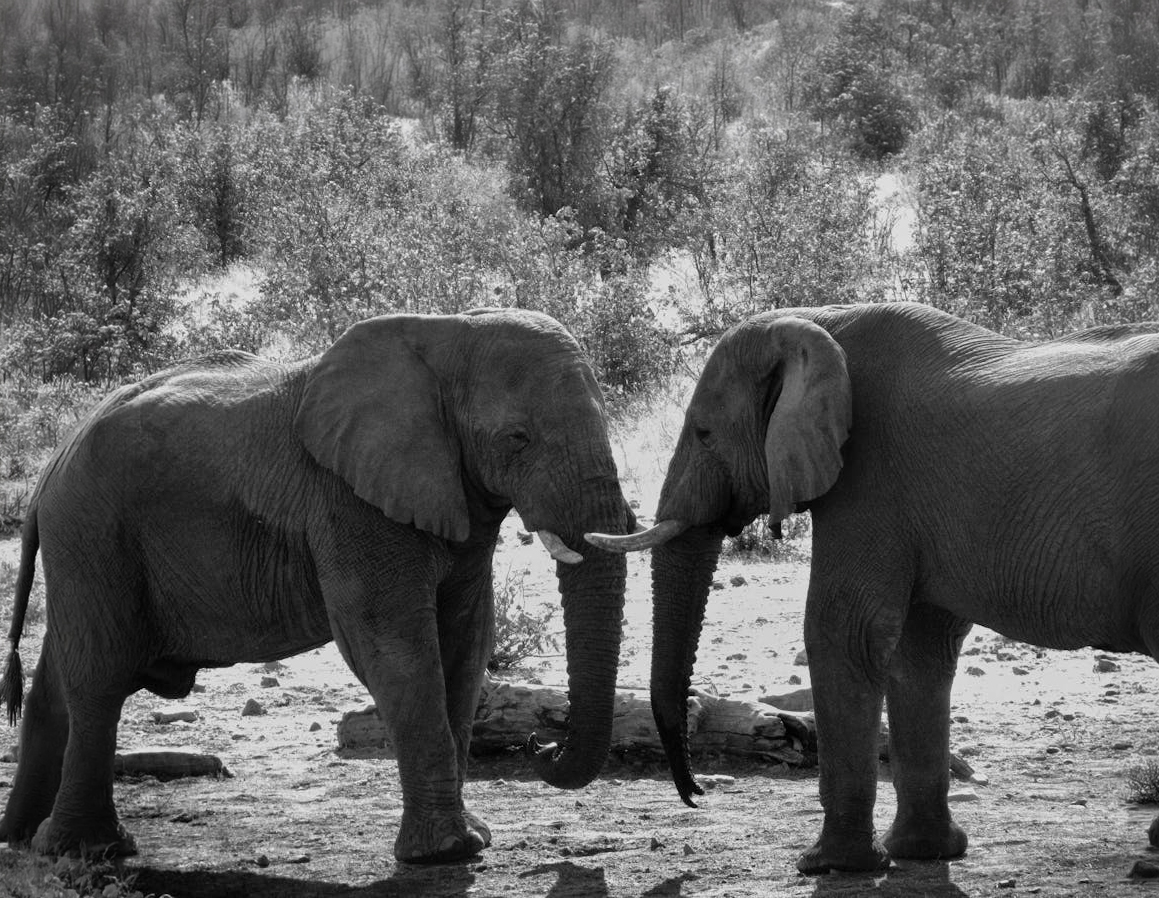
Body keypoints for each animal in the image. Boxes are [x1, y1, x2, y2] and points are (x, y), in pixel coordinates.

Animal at [0, 308, 634, 864]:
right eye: (518, 438)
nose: (543, 742)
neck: (447, 332)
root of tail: (52, 465)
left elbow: (466, 645)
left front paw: (474, 837)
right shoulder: (348, 502)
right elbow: (395, 649)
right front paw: (448, 852)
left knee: (61, 677)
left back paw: (27, 839)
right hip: (92, 532)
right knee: (99, 679)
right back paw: (89, 849)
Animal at [588, 301, 1159, 873]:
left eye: (704, 433)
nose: (697, 795)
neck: (820, 323)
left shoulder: (869, 480)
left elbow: (843, 632)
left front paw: (828, 863)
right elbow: (919, 649)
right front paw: (922, 853)